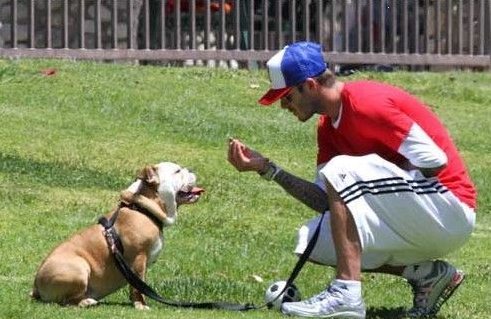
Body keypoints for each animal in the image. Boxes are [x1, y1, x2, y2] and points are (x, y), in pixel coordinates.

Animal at [30, 162, 204, 310]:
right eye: (177, 171)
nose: (191, 169)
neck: (143, 208)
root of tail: (36, 286)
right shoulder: (139, 258)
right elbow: (138, 286)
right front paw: (140, 305)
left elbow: (139, 284)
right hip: (79, 268)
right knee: (65, 301)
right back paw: (86, 301)